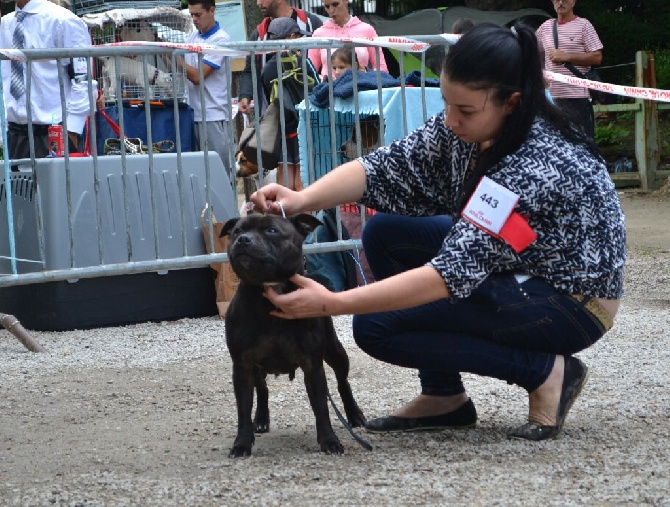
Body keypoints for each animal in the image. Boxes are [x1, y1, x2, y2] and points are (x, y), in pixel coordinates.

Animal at [222, 212, 368, 458]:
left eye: (272, 230)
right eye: (236, 231)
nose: (243, 239)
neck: (271, 294)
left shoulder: (313, 366)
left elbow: (321, 407)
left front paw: (330, 441)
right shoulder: (242, 365)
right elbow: (243, 410)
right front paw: (241, 444)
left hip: (335, 351)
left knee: (342, 381)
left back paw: (354, 414)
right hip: (257, 368)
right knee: (262, 388)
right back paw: (260, 419)